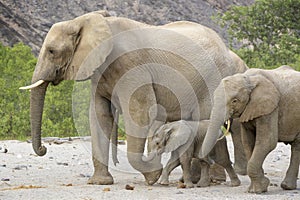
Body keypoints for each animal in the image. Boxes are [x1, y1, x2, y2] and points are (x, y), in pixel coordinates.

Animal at [19, 10, 247, 185]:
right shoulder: (100, 70)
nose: (44, 149)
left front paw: (153, 175)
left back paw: (211, 180)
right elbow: (99, 115)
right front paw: (100, 182)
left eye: (51, 51)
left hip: (213, 79)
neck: (93, 21)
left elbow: (140, 112)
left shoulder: (132, 67)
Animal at [202, 66, 300, 194]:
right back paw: (287, 187)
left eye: (234, 101)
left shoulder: (270, 108)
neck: (249, 79)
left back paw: (287, 187)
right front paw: (258, 187)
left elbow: (267, 142)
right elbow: (248, 142)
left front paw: (258, 190)